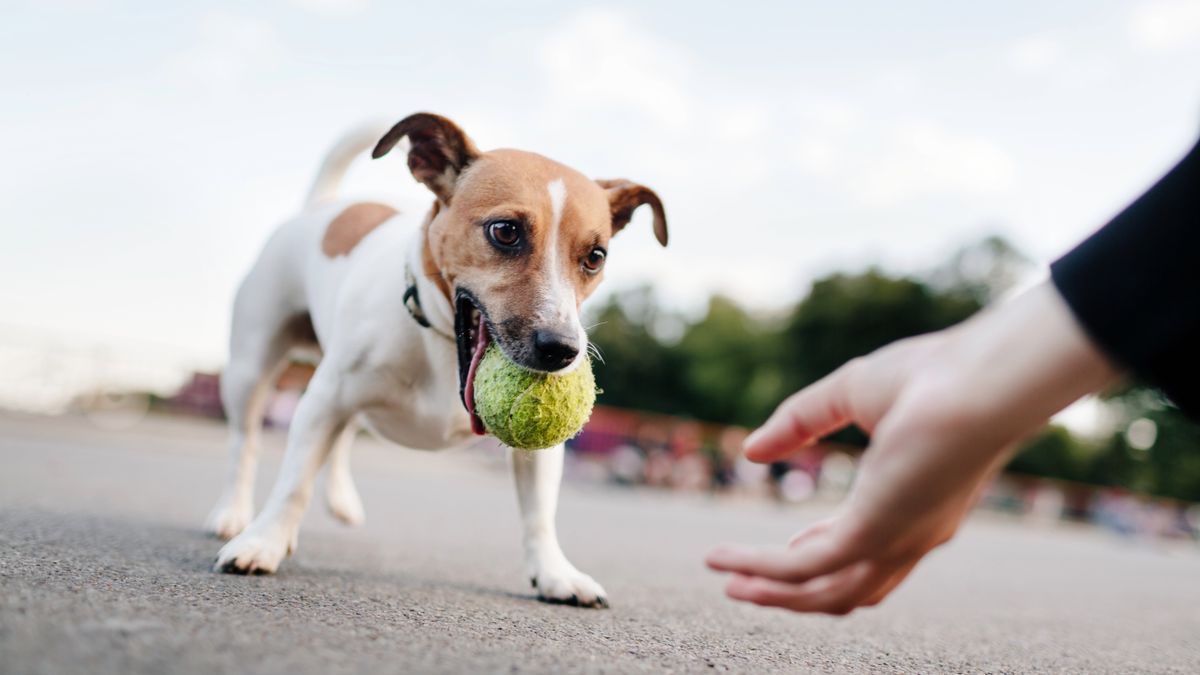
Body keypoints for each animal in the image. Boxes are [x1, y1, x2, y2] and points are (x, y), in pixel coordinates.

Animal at [210, 111, 672, 605]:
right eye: (505, 231)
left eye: (595, 256)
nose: (562, 350)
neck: (443, 344)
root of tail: (323, 206)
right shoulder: (324, 400)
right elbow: (293, 483)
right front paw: (264, 542)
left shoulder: (540, 451)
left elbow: (539, 514)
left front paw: (554, 574)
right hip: (250, 368)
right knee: (245, 442)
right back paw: (234, 514)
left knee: (343, 437)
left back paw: (340, 500)